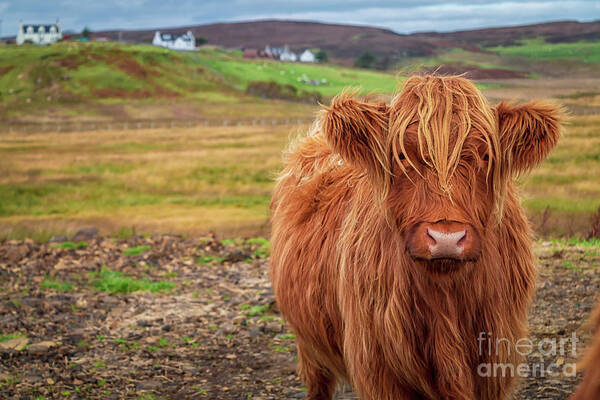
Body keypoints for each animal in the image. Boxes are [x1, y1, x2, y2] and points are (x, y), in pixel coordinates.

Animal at [270, 73, 564, 398]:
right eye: (401, 154)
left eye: (486, 155)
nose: (446, 238)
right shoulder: (379, 367)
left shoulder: (495, 359)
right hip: (309, 346)